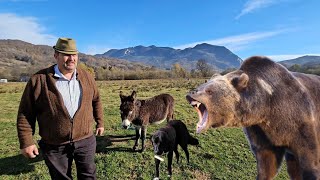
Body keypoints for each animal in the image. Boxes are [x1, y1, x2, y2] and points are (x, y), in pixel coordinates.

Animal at [185, 56, 320, 180]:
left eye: (209, 91)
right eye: (202, 85)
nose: (191, 93)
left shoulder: (300, 121)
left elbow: (309, 159)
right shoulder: (261, 131)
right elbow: (267, 164)